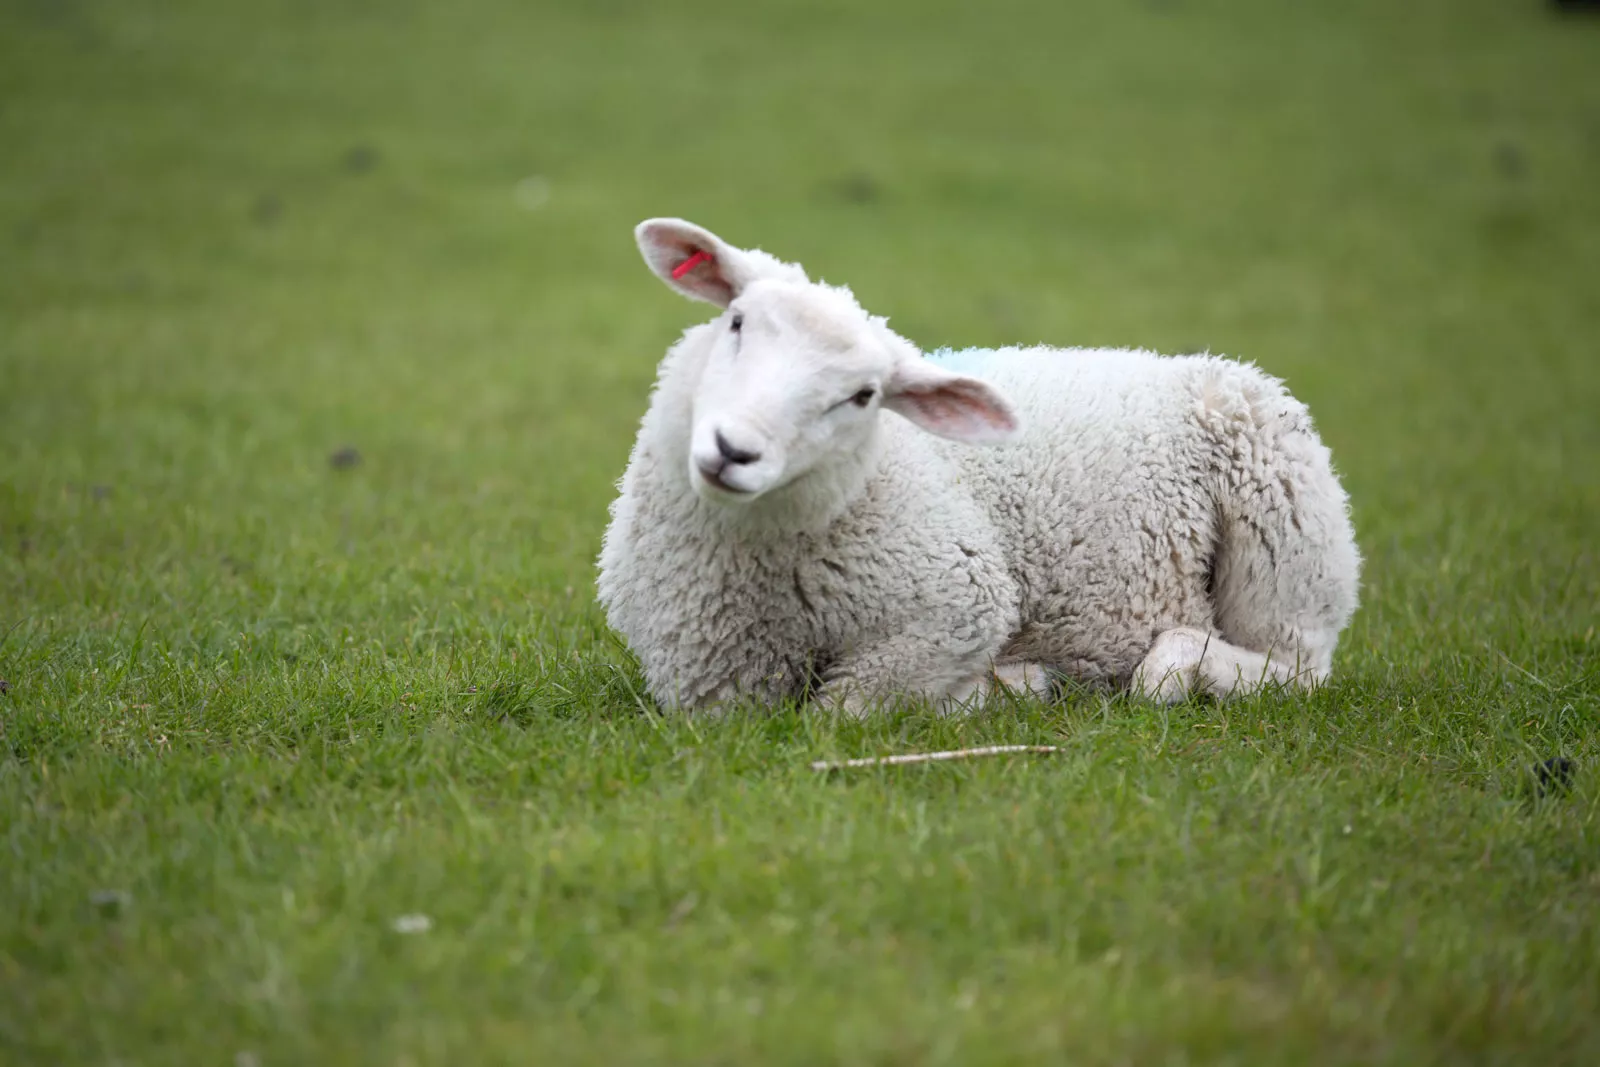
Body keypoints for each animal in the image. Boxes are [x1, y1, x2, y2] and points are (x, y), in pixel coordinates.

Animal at [601, 217, 1363, 713]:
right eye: (736, 322)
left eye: (862, 396)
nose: (734, 450)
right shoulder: (707, 678)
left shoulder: (956, 604)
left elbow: (843, 712)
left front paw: (1000, 689)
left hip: (1288, 530)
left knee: (1294, 667)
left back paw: (1163, 673)